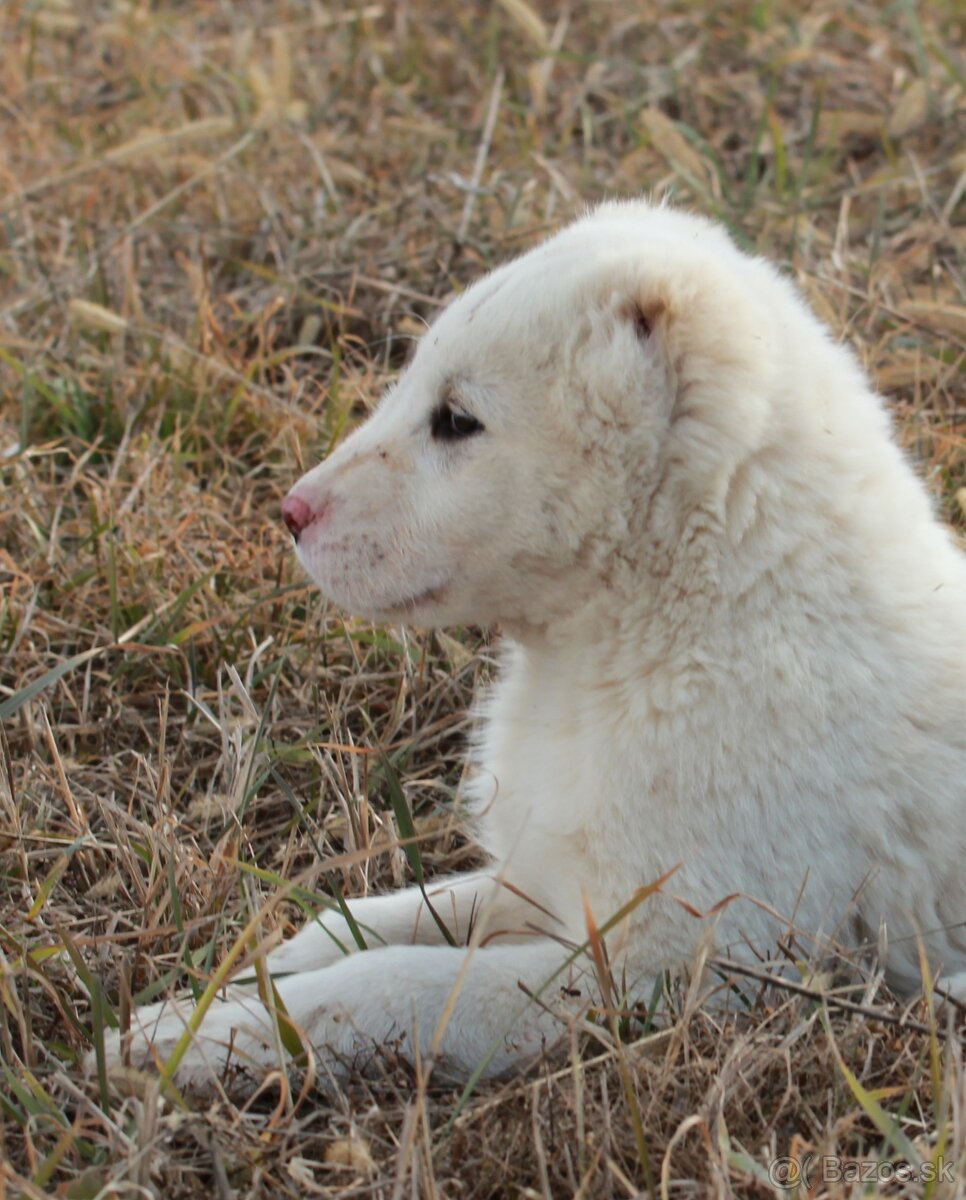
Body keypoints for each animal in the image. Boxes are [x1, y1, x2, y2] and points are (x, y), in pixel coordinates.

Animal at [96, 204, 964, 1089]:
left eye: (457, 421)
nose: (291, 512)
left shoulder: (677, 965)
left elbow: (399, 983)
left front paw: (200, 1038)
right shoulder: (544, 875)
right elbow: (382, 917)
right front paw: (230, 986)